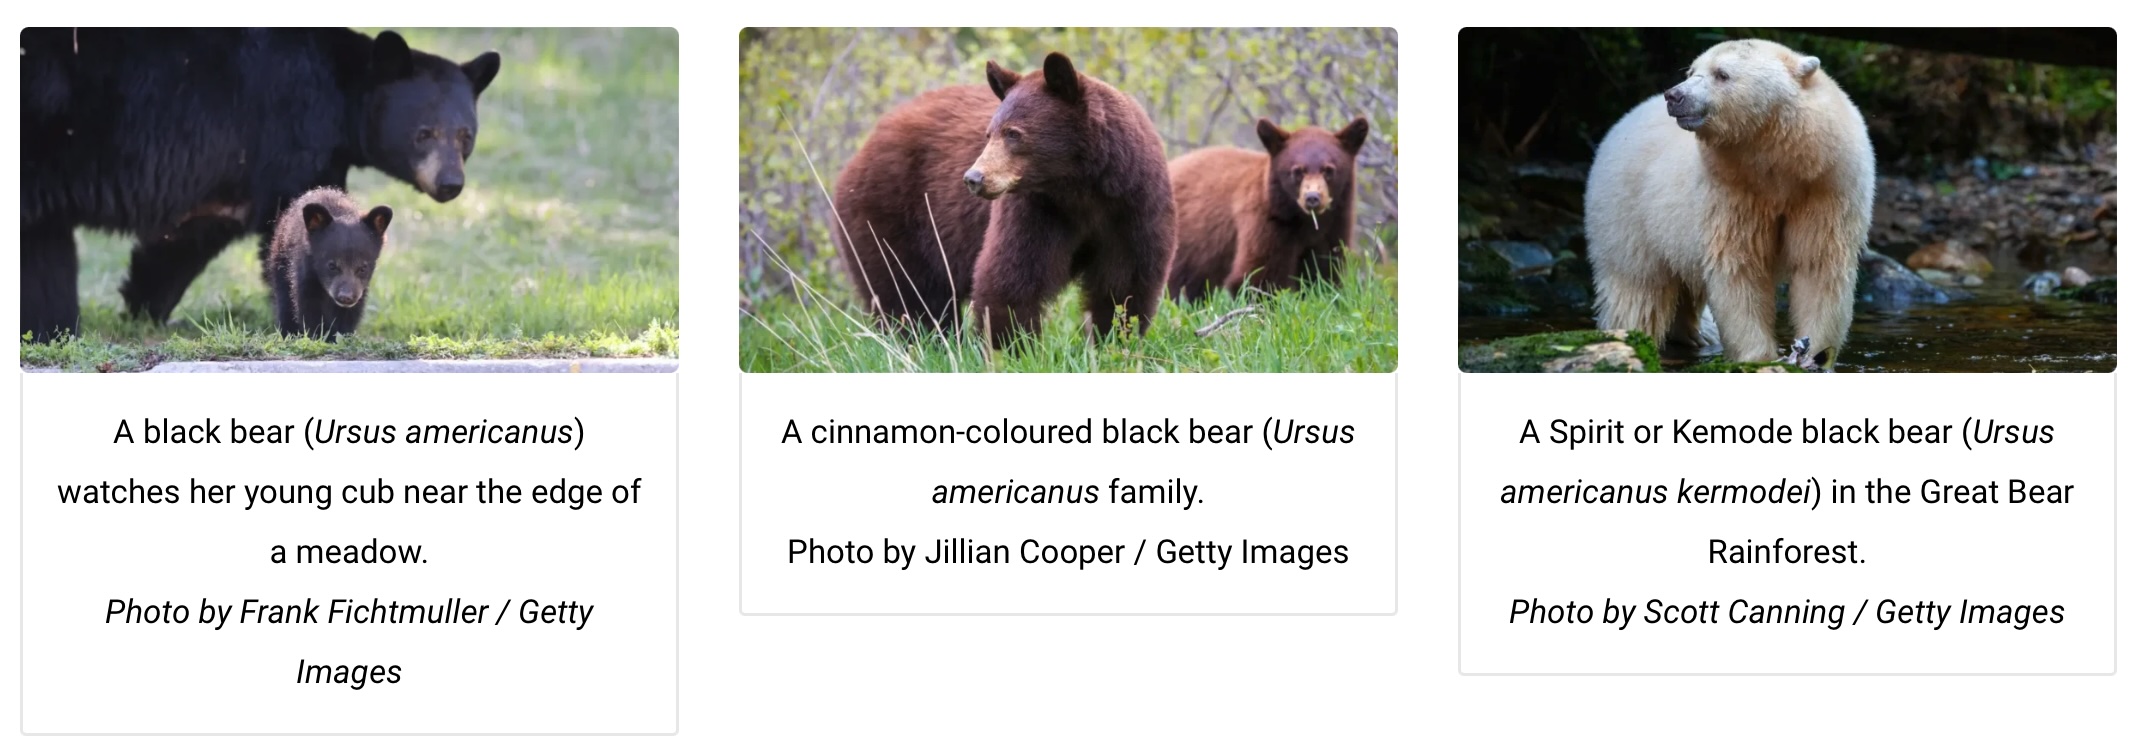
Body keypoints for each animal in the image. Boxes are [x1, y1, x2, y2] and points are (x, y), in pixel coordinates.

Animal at [267, 188, 392, 339]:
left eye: (363, 268)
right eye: (331, 266)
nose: (346, 297)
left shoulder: (361, 288)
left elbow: (350, 313)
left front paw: (341, 335)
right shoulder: (306, 272)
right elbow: (308, 305)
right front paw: (317, 335)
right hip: (281, 261)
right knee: (284, 299)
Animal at [832, 51, 1175, 349]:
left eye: (1013, 133)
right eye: (989, 133)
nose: (973, 178)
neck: (1080, 190)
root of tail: (866, 146)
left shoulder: (1132, 207)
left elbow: (1124, 284)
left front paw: (1112, 342)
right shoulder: (1036, 209)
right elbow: (1011, 276)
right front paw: (1012, 348)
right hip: (891, 215)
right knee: (908, 292)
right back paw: (924, 342)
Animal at [1166, 117, 1370, 302]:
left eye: (1328, 170)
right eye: (1297, 171)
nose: (1312, 198)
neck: (1305, 222)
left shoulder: (1335, 225)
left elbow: (1324, 272)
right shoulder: (1267, 222)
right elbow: (1258, 276)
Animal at [1584, 38, 1874, 370]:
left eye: (1721, 74)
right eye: (1691, 70)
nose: (1675, 95)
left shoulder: (1827, 187)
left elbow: (1818, 264)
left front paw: (1814, 356)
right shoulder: (1731, 192)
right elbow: (1739, 267)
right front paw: (1759, 357)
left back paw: (1696, 335)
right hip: (1627, 211)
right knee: (1637, 288)